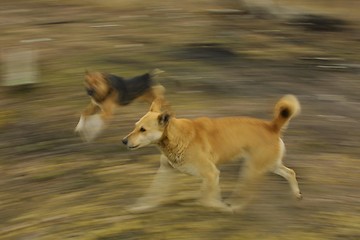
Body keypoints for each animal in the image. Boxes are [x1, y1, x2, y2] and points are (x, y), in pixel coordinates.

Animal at [122, 94, 302, 213]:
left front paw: (218, 207)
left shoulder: (211, 173)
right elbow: (154, 192)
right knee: (290, 172)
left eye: (143, 129)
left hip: (252, 169)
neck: (177, 136)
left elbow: (206, 199)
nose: (123, 141)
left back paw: (235, 205)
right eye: (135, 126)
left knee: (247, 193)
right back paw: (296, 196)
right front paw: (142, 207)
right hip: (270, 164)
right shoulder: (166, 171)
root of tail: (272, 126)